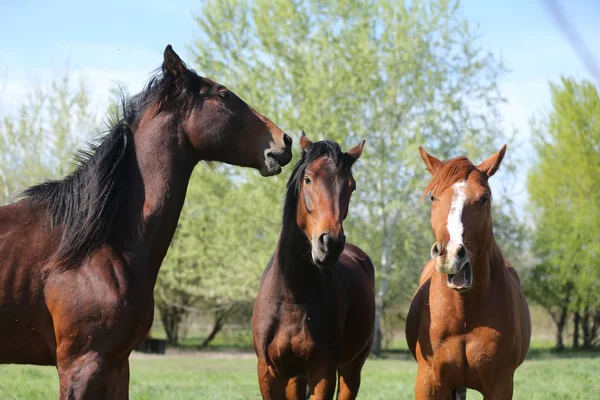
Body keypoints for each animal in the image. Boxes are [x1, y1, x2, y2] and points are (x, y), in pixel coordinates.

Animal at [252, 134, 376, 400]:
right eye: (308, 179)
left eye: (351, 185)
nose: (330, 244)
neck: (293, 296)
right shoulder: (269, 373)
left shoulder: (323, 372)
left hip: (352, 369)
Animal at [408, 147, 528, 400]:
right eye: (433, 197)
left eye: (484, 197)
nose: (452, 254)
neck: (464, 315)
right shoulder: (427, 382)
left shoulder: (500, 385)